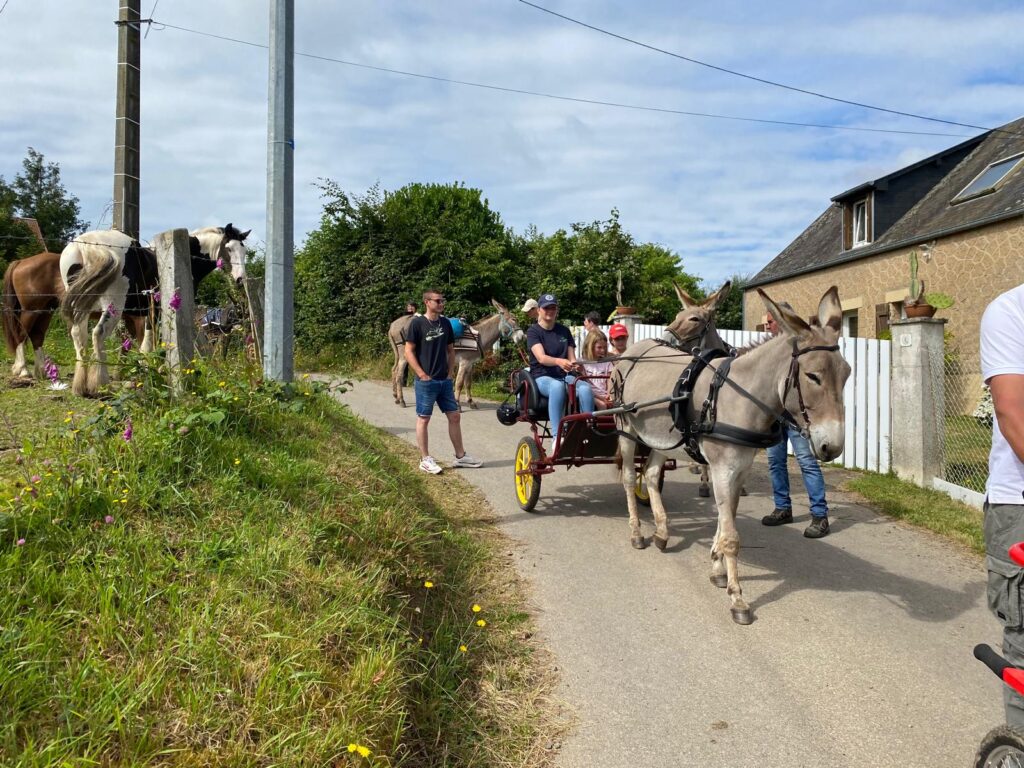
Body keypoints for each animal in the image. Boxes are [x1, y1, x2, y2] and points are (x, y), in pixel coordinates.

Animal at [2, 250, 64, 380]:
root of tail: (20, 262)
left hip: (44, 311)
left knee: (36, 336)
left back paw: (41, 372)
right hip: (30, 311)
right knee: (21, 335)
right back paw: (23, 370)